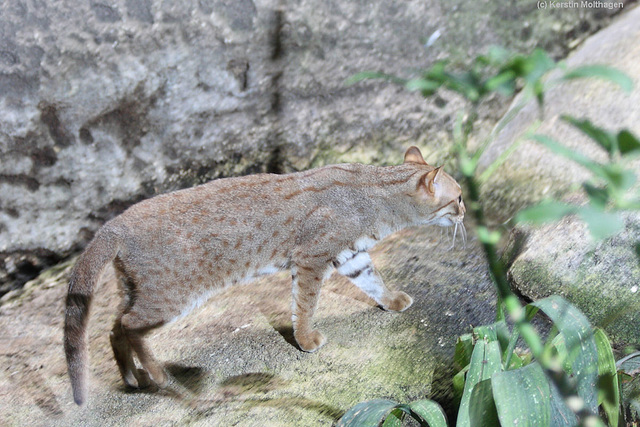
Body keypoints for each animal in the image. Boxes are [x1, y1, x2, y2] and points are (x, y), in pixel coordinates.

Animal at [65, 146, 464, 404]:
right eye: (458, 197)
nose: (464, 212)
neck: (376, 195)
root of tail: (115, 224)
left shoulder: (352, 256)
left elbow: (373, 281)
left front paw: (393, 300)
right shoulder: (312, 259)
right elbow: (305, 304)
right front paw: (305, 339)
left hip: (135, 290)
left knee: (112, 329)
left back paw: (132, 377)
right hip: (168, 299)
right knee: (128, 326)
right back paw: (158, 375)